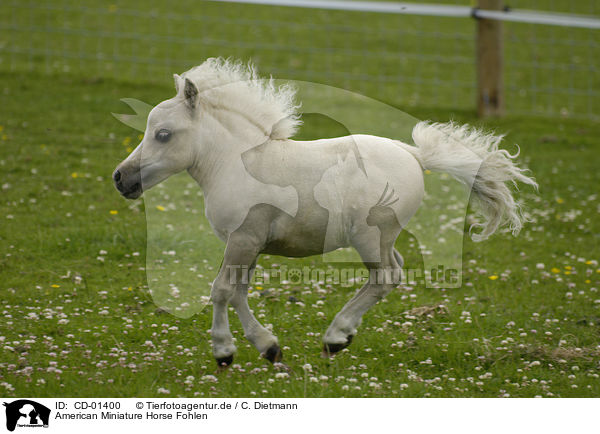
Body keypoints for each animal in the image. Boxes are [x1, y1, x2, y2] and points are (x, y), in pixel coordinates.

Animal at [113, 57, 540, 366]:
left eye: (163, 134)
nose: (121, 178)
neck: (236, 163)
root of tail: (414, 154)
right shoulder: (248, 244)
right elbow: (237, 293)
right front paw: (268, 348)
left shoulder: (244, 238)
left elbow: (221, 291)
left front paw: (225, 352)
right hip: (382, 238)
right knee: (394, 272)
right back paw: (342, 336)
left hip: (369, 237)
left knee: (385, 277)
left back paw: (335, 337)